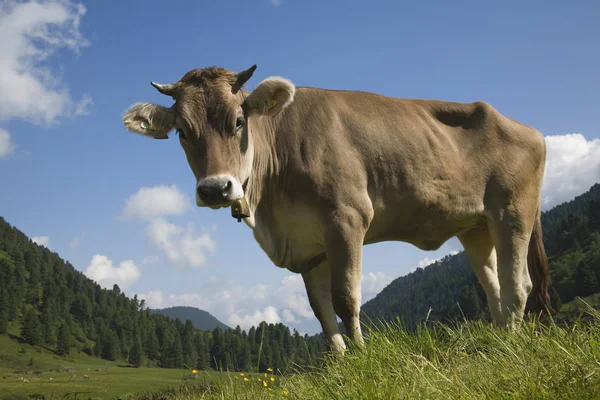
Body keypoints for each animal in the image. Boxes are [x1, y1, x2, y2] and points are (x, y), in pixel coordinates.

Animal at [120, 65, 552, 354]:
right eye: (182, 131)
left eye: (239, 121)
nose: (215, 188)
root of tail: (527, 128)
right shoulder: (309, 246)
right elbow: (321, 311)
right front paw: (338, 362)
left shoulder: (346, 218)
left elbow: (346, 299)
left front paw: (360, 357)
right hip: (475, 226)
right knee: (493, 286)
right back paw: (498, 339)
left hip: (513, 211)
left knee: (519, 284)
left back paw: (512, 343)